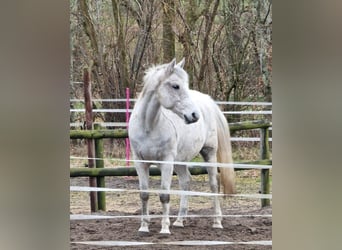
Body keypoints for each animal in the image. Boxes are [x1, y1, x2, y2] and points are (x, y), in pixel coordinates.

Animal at [128, 58, 235, 234]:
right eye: (176, 86)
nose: (194, 115)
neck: (148, 126)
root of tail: (208, 101)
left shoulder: (166, 162)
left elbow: (164, 195)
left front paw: (164, 228)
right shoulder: (140, 162)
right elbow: (144, 194)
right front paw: (144, 227)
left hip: (209, 153)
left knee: (213, 184)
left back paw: (217, 221)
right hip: (180, 161)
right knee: (186, 181)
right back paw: (179, 220)